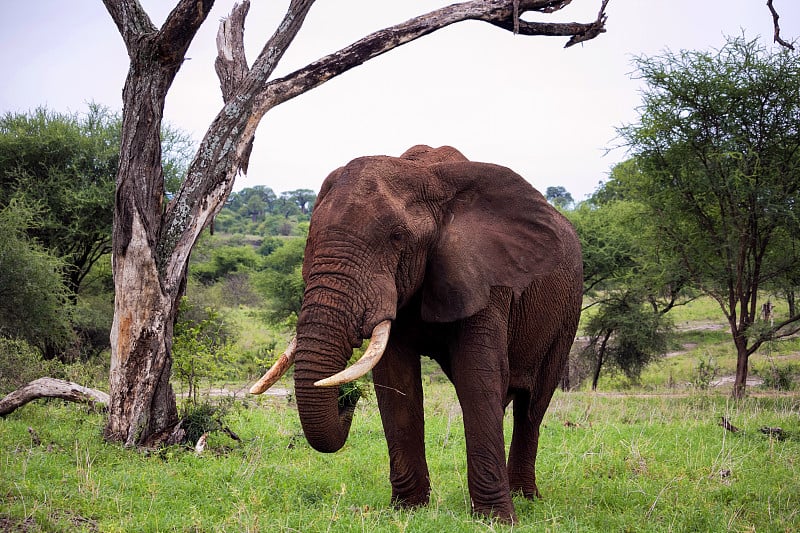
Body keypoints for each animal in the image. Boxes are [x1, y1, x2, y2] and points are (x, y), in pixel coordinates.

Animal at [253, 143, 584, 520]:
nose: (348, 400)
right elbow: (396, 380)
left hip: (568, 311)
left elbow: (477, 375)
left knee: (533, 405)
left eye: (397, 238)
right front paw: (407, 510)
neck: (427, 177)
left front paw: (497, 519)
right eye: (310, 238)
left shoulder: (486, 278)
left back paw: (526, 497)